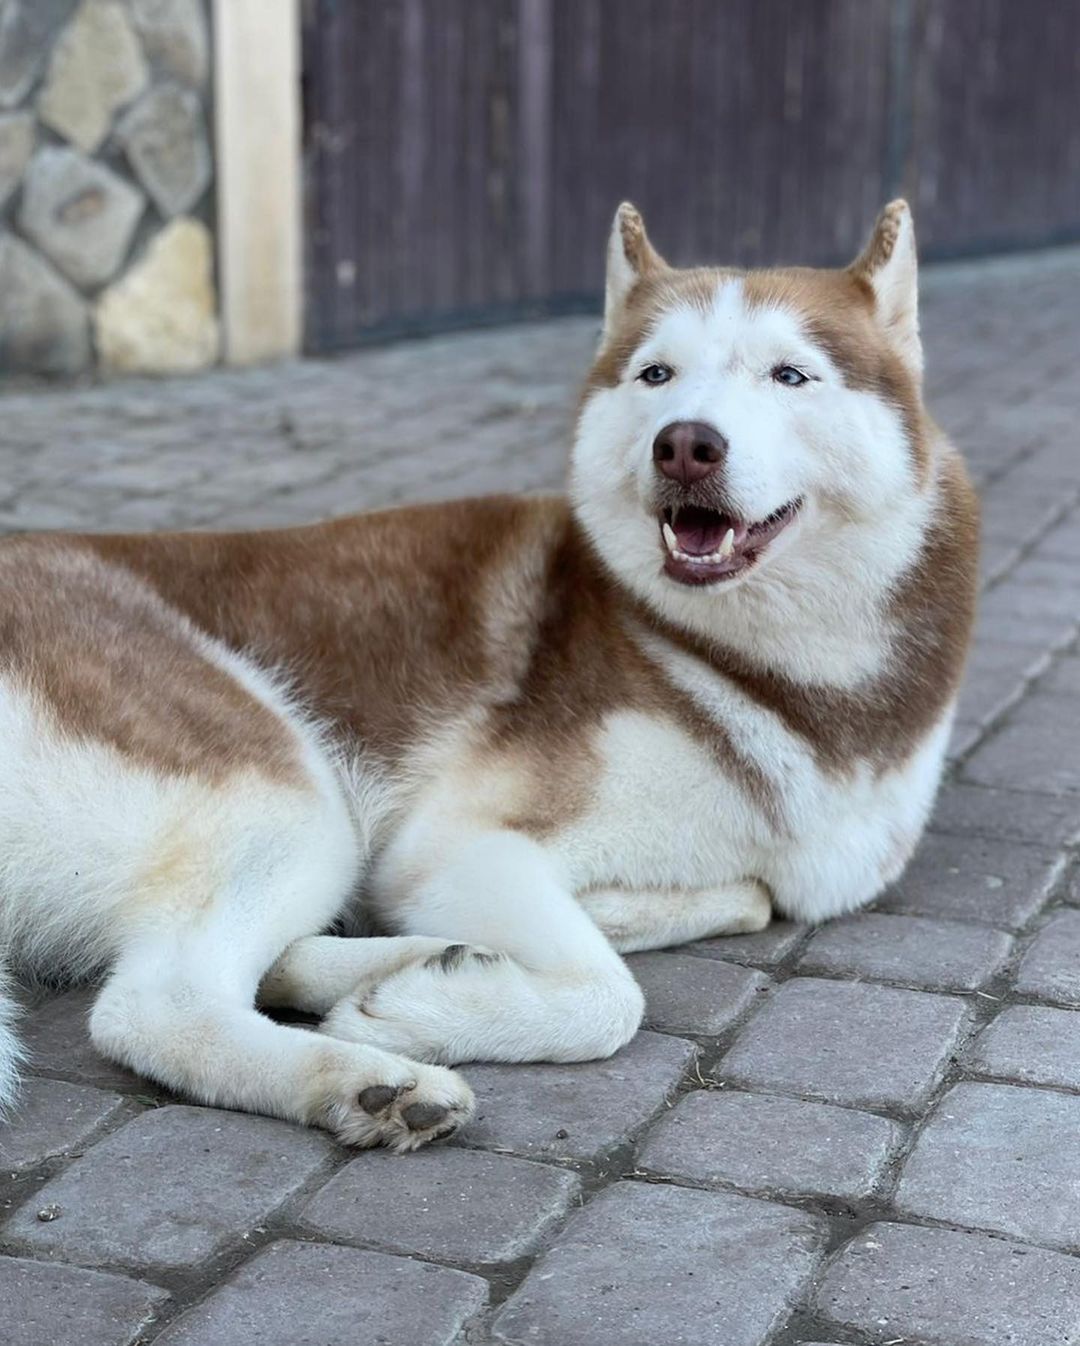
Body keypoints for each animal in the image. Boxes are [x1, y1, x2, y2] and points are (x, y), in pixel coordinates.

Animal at [0, 199, 974, 1146]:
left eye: (791, 375)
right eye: (656, 375)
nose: (684, 445)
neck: (773, 677)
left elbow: (750, 900)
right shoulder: (458, 844)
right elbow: (610, 996)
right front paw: (422, 1012)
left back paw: (398, 961)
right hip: (287, 788)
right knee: (155, 1007)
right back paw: (370, 1080)